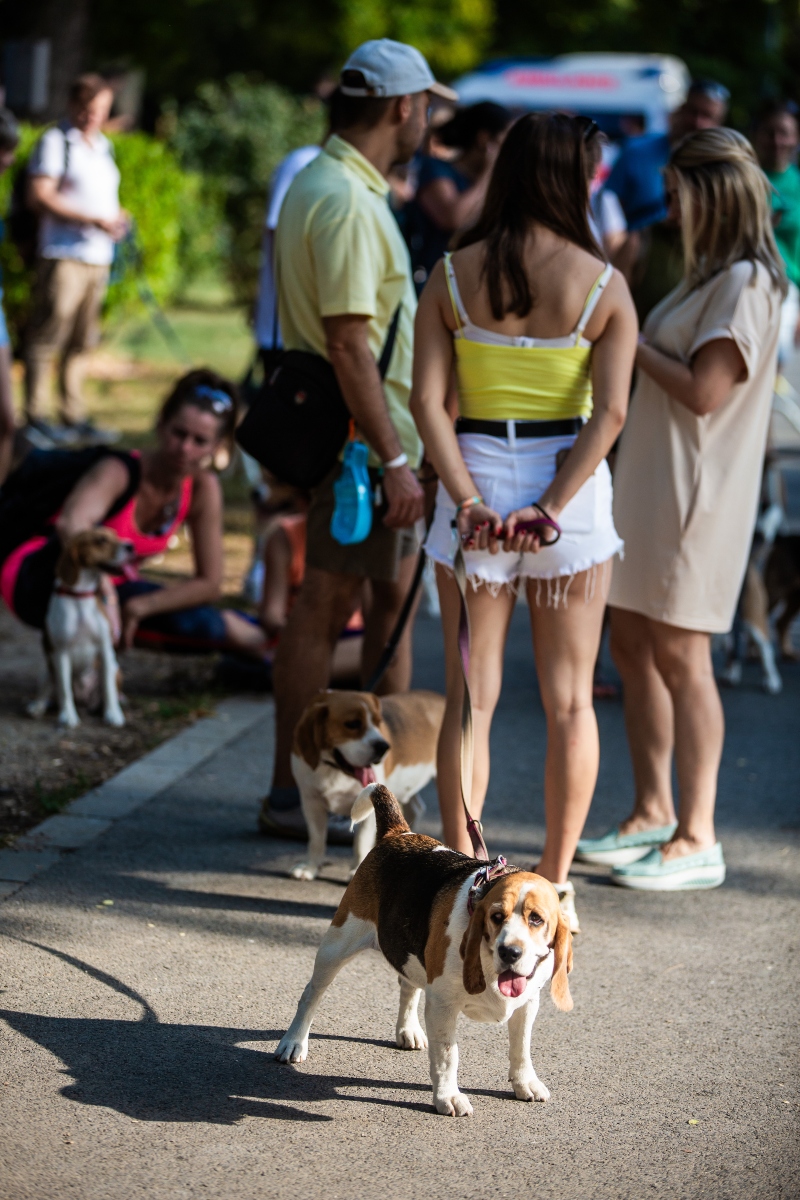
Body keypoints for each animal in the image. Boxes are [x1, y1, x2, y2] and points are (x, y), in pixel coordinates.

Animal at [28, 528, 133, 729]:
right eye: (101, 540)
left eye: (115, 535)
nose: (131, 546)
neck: (80, 596)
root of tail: (85, 702)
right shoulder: (60, 652)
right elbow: (65, 689)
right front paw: (67, 716)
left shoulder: (106, 650)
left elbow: (108, 688)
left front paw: (113, 714)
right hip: (47, 668)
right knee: (48, 689)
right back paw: (37, 705)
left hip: (116, 669)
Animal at [278, 782, 573, 1118]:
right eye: (496, 916)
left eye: (537, 919)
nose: (510, 952)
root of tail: (399, 832)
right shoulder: (443, 1006)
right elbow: (447, 1055)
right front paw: (448, 1097)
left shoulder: (527, 1004)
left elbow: (521, 1048)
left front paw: (525, 1083)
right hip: (336, 946)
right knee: (311, 995)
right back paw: (294, 1042)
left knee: (408, 987)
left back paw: (407, 1030)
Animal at [291, 686, 448, 883]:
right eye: (352, 724)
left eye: (378, 722)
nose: (383, 747)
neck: (336, 770)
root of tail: (442, 698)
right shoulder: (311, 802)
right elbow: (317, 839)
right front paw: (310, 867)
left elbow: (360, 842)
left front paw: (356, 870)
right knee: (417, 808)